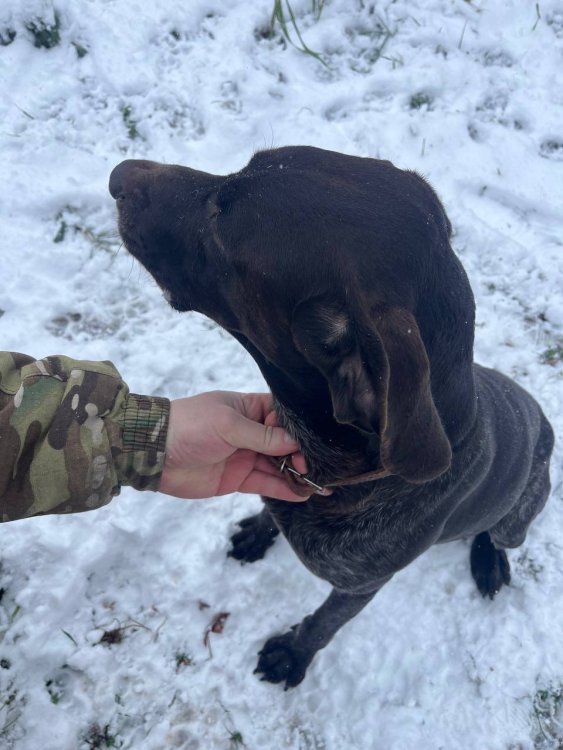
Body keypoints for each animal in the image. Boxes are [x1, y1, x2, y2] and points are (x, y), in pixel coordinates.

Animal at [109, 146, 554, 689]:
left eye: (221, 220)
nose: (117, 176)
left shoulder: (362, 585)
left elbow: (325, 623)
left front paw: (293, 653)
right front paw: (260, 530)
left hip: (521, 514)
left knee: (501, 533)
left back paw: (489, 559)